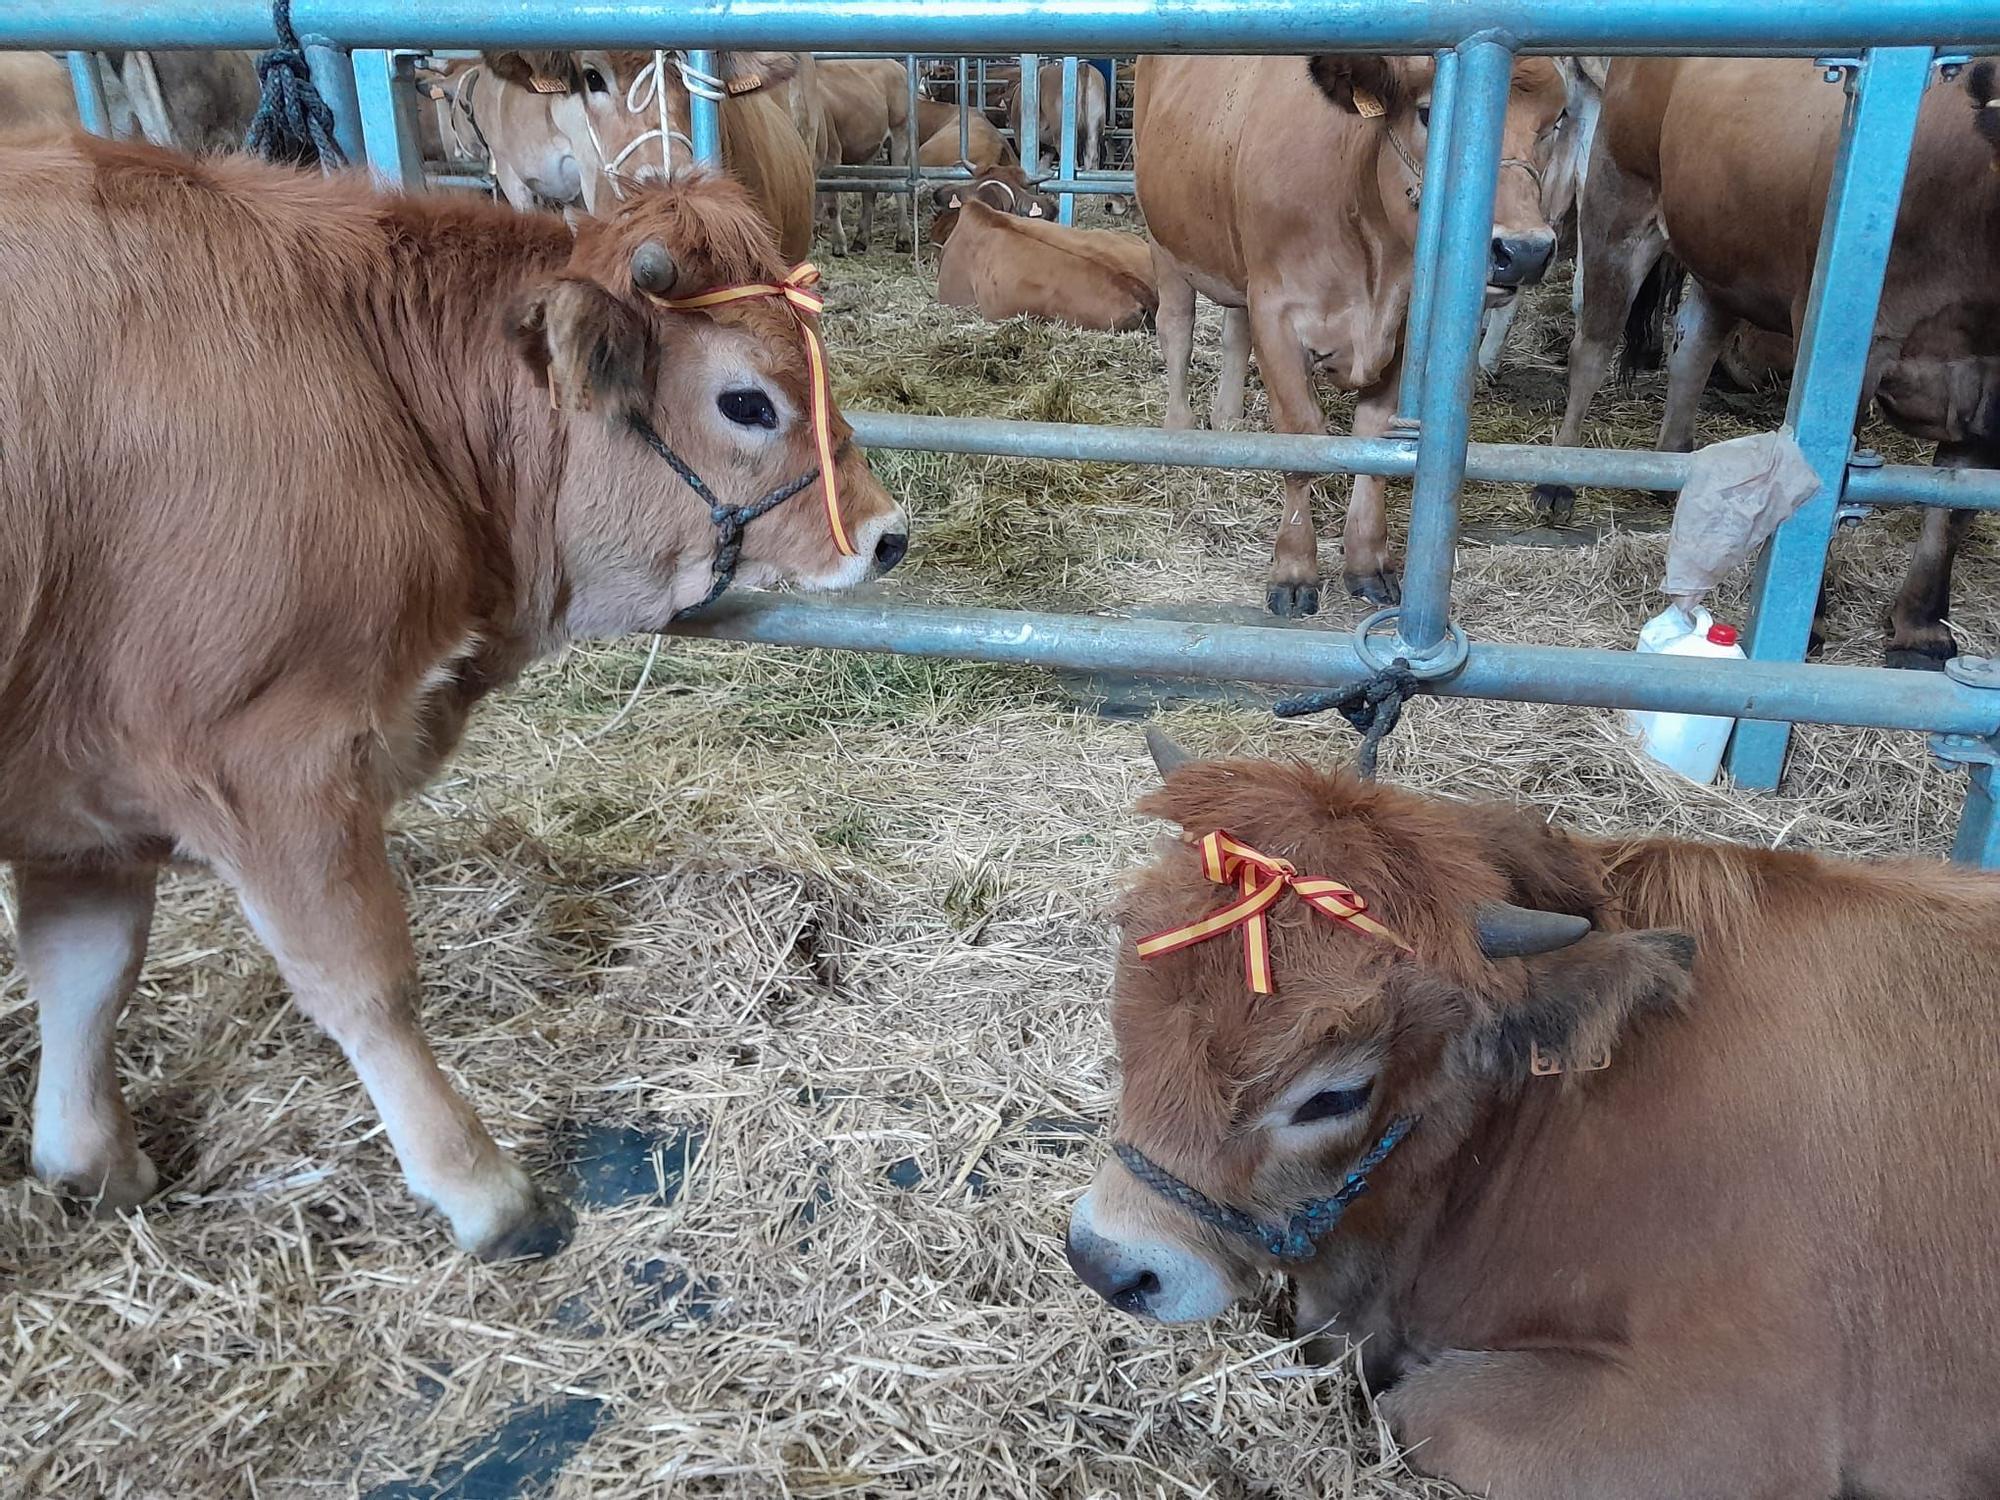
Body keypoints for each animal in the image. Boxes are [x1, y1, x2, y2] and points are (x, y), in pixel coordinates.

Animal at [0, 135, 908, 1264]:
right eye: (747, 402)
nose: (885, 533)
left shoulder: (82, 795)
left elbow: (85, 969)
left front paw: (91, 1162)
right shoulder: (267, 757)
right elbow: (362, 982)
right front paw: (483, 1191)